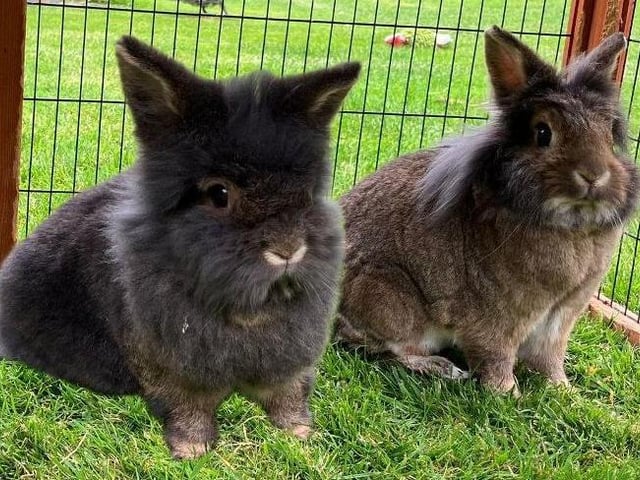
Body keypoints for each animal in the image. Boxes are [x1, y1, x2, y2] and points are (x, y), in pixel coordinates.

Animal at [0, 36, 360, 459]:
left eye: (305, 193)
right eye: (219, 194)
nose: (288, 250)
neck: (248, 306)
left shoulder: (289, 365)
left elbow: (288, 394)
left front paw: (300, 435)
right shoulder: (169, 372)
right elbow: (189, 407)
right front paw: (192, 452)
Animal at [336, 26, 638, 396]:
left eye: (609, 132)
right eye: (543, 133)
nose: (594, 175)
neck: (572, 224)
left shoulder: (560, 317)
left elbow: (548, 359)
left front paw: (564, 392)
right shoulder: (495, 317)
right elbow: (495, 356)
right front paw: (509, 395)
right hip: (389, 299)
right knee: (388, 348)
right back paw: (443, 369)